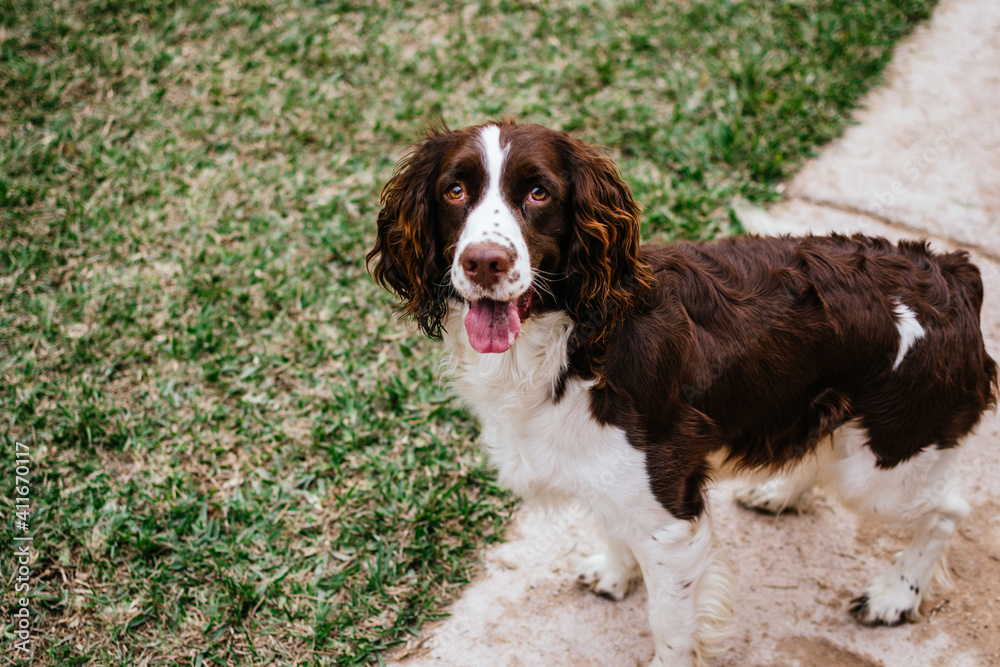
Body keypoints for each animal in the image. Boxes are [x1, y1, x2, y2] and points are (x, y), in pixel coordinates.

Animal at [366, 121, 992, 667]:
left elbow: (669, 624)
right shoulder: (610, 477)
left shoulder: (670, 519)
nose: (484, 262)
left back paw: (895, 595)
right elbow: (610, 522)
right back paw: (781, 492)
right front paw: (615, 571)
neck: (578, 338)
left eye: (539, 193)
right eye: (454, 190)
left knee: (947, 510)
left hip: (887, 463)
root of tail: (951, 271)